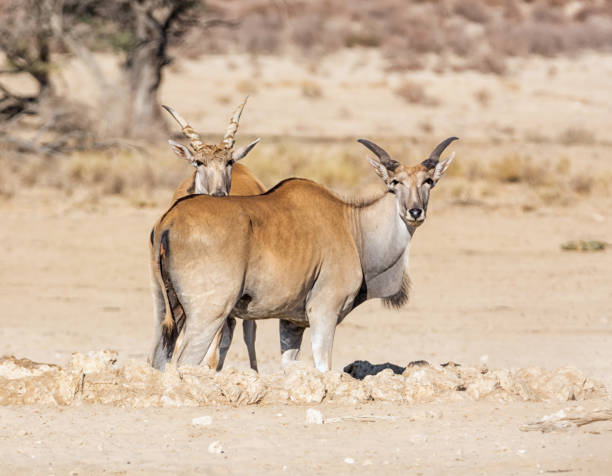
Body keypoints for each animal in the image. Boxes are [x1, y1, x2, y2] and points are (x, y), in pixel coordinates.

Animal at [148, 136, 454, 370]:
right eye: (395, 182)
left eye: (428, 181)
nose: (415, 211)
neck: (352, 225)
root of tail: (170, 219)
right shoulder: (323, 311)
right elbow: (323, 366)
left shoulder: (291, 323)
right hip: (208, 314)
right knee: (185, 362)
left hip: (168, 311)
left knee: (159, 359)